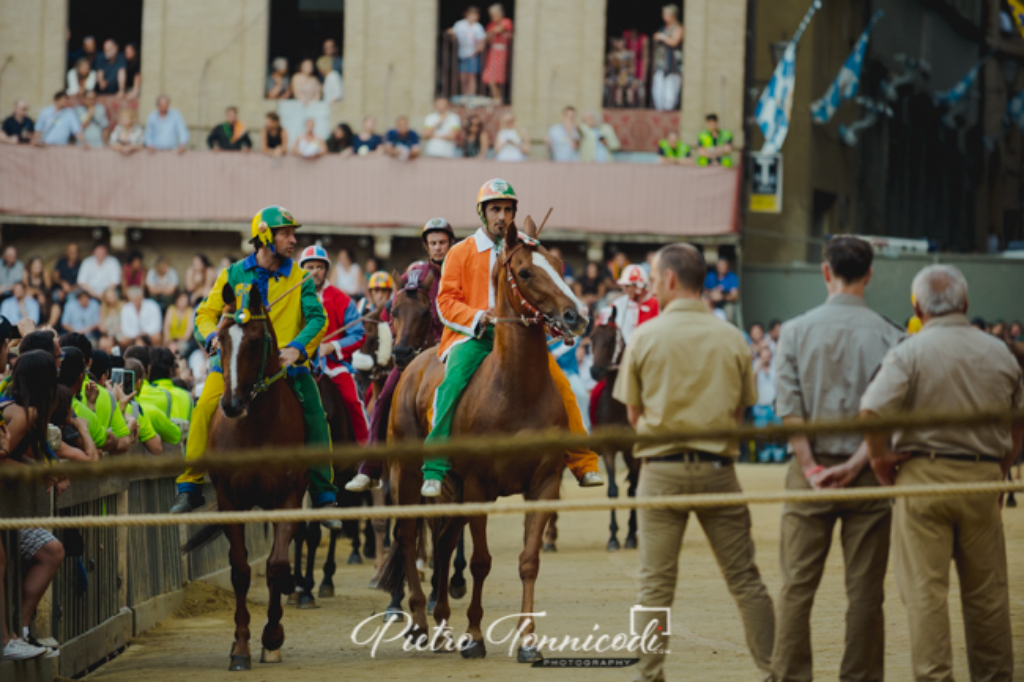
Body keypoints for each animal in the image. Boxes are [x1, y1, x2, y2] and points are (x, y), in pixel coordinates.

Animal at [182, 280, 307, 667]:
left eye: (254, 341)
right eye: (220, 340)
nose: (232, 404)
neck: (255, 430)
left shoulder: (288, 497)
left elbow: (277, 564)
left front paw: (272, 636)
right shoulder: (229, 500)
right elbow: (240, 570)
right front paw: (240, 647)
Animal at [378, 216, 589, 659]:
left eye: (559, 265)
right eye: (525, 272)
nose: (575, 317)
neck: (515, 390)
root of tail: (413, 366)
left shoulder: (543, 484)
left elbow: (528, 560)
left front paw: (528, 641)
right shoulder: (478, 485)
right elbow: (480, 561)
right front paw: (474, 636)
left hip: (452, 488)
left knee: (442, 542)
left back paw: (441, 624)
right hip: (406, 475)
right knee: (408, 537)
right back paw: (419, 621)